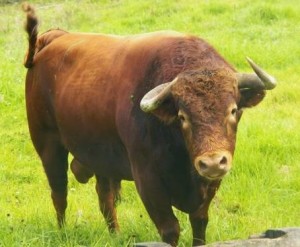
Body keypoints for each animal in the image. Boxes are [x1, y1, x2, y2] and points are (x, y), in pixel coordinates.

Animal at [22, 4, 276, 246]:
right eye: (182, 116)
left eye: (233, 110)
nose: (212, 162)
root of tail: (52, 40)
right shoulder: (148, 179)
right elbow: (170, 228)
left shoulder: (209, 184)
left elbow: (199, 220)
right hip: (48, 146)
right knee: (59, 193)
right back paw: (63, 232)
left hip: (100, 159)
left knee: (105, 198)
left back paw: (116, 235)